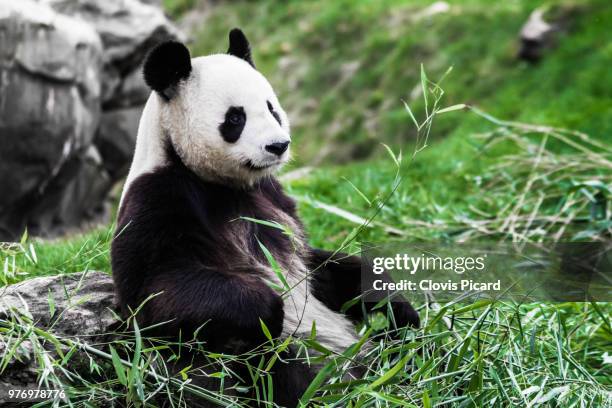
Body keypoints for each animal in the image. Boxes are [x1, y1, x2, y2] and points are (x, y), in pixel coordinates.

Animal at [111, 29, 420, 408]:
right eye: (235, 118)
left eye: (272, 108)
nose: (278, 146)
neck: (220, 182)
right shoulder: (158, 198)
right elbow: (155, 292)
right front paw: (269, 310)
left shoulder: (272, 197)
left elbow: (320, 267)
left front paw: (392, 301)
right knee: (279, 369)